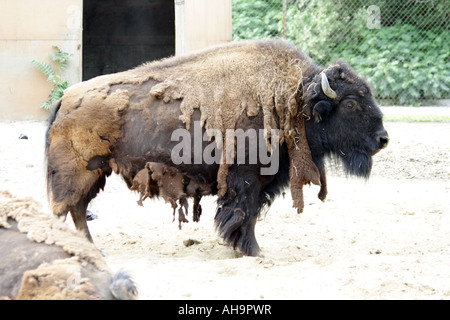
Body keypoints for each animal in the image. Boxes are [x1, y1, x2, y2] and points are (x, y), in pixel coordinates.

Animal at [45, 38, 386, 258]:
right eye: (351, 104)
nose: (383, 139)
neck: (296, 99)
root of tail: (65, 99)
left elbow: (247, 215)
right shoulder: (246, 181)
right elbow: (244, 214)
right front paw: (253, 251)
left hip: (93, 175)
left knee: (76, 210)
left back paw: (93, 250)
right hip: (79, 175)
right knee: (65, 210)